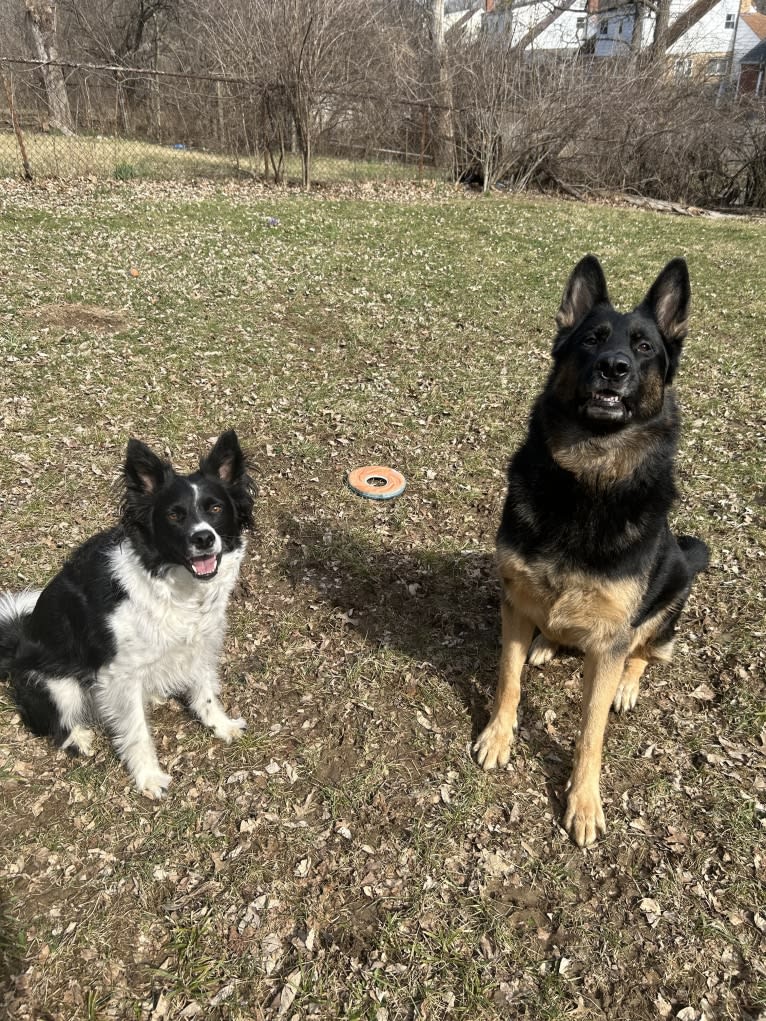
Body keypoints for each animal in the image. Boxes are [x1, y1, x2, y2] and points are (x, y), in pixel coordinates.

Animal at [0, 430, 255, 796]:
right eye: (174, 515)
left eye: (216, 508)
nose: (204, 538)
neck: (172, 581)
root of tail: (15, 645)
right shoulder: (120, 673)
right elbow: (137, 731)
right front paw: (149, 777)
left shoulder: (201, 640)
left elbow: (205, 691)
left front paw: (220, 725)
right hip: (58, 685)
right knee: (55, 721)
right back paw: (78, 738)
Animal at [477, 255, 710, 845]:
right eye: (591, 339)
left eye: (645, 346)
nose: (614, 367)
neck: (589, 479)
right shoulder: (514, 601)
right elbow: (508, 680)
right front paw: (498, 736)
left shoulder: (610, 639)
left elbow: (592, 730)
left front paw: (583, 801)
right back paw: (547, 643)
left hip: (673, 585)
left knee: (647, 651)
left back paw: (626, 683)